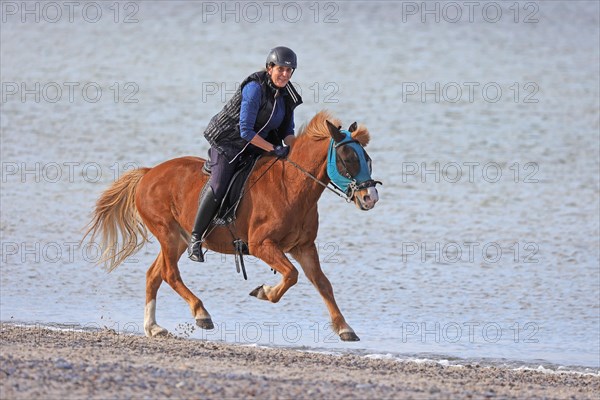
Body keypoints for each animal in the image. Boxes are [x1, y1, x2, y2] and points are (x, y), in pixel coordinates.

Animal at [84, 111, 380, 342]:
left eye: (367, 158)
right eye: (348, 159)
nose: (370, 198)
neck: (292, 186)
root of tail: (147, 173)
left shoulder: (303, 247)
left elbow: (322, 283)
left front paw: (344, 328)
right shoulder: (262, 245)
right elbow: (292, 275)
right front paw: (264, 292)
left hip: (177, 239)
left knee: (153, 274)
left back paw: (153, 327)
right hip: (168, 233)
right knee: (169, 273)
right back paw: (201, 313)